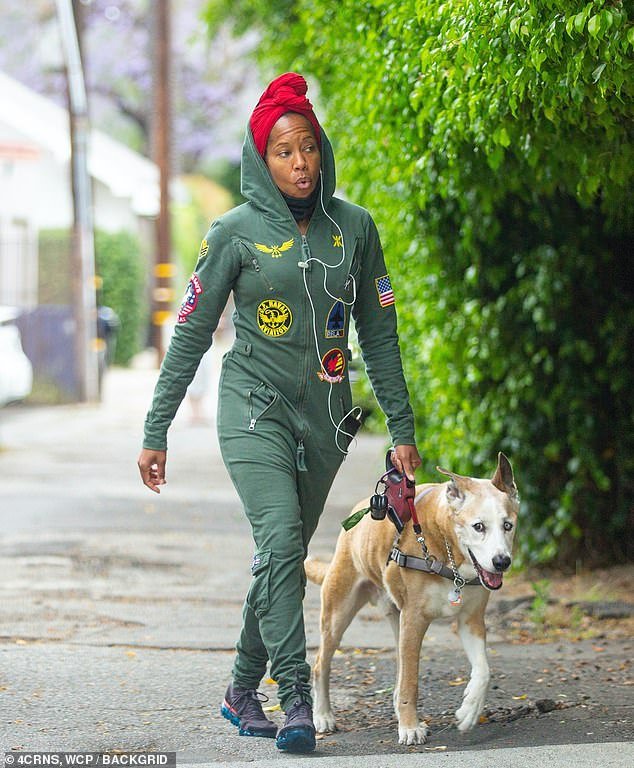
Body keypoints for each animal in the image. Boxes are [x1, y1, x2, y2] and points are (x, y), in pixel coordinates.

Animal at [304, 452, 516, 748]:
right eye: (478, 527)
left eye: (508, 525)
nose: (501, 562)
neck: (447, 547)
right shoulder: (414, 619)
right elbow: (411, 681)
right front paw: (410, 728)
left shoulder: (470, 620)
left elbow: (484, 671)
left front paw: (469, 711)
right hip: (339, 611)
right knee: (321, 663)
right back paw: (323, 715)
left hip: (397, 620)